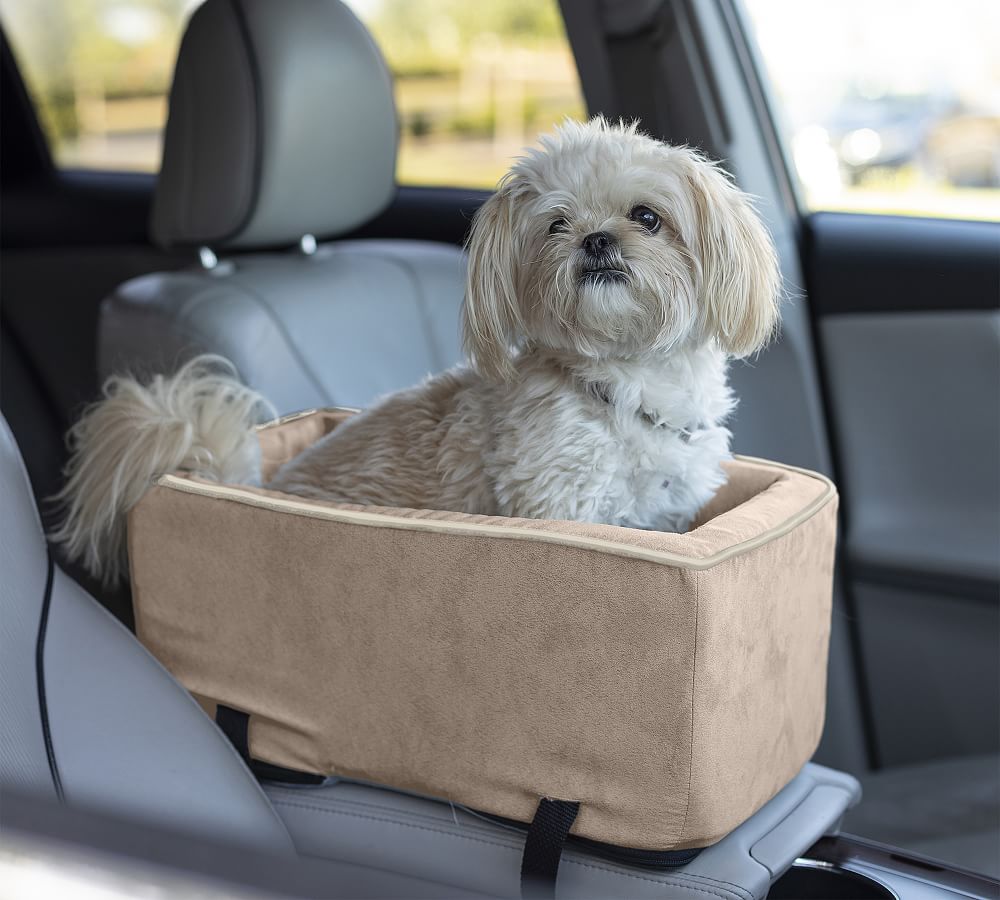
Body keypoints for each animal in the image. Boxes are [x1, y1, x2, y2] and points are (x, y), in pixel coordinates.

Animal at [54, 119, 780, 584]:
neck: (621, 388)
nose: (596, 240)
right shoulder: (561, 504)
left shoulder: (669, 513)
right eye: (556, 225)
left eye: (647, 218)